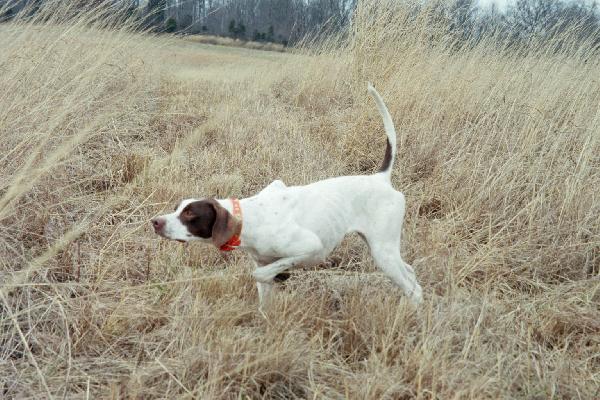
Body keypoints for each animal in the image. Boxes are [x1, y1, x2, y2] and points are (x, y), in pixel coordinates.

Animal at [151, 84, 422, 306]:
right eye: (177, 207)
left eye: (190, 214)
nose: (155, 221)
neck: (249, 219)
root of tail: (381, 178)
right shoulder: (263, 263)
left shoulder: (312, 247)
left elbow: (264, 273)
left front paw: (281, 274)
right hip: (385, 250)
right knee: (410, 273)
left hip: (383, 251)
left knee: (413, 288)